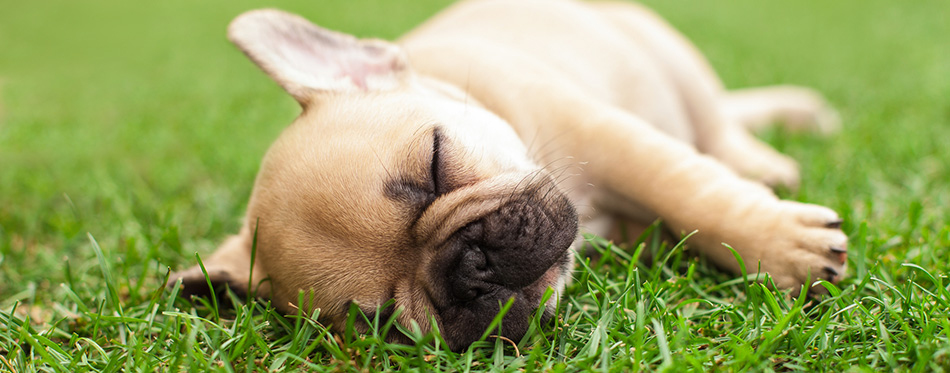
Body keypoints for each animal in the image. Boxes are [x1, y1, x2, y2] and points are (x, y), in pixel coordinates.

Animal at [175, 0, 852, 348]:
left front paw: (786, 249)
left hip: (676, 64)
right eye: (385, 323)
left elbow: (687, 191)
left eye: (436, 162)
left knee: (717, 129)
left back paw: (767, 156)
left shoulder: (607, 136)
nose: (469, 268)